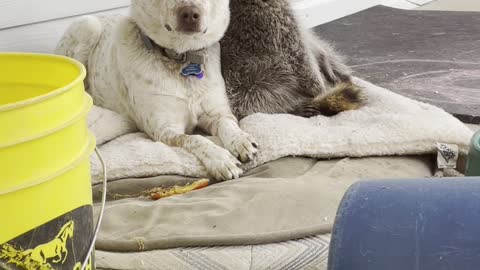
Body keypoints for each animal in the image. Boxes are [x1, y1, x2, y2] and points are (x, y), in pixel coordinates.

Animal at [55, 1, 258, 181]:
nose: (190, 14)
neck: (182, 60)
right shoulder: (164, 129)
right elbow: (195, 139)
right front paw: (220, 159)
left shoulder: (218, 113)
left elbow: (228, 125)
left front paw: (241, 140)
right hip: (87, 27)